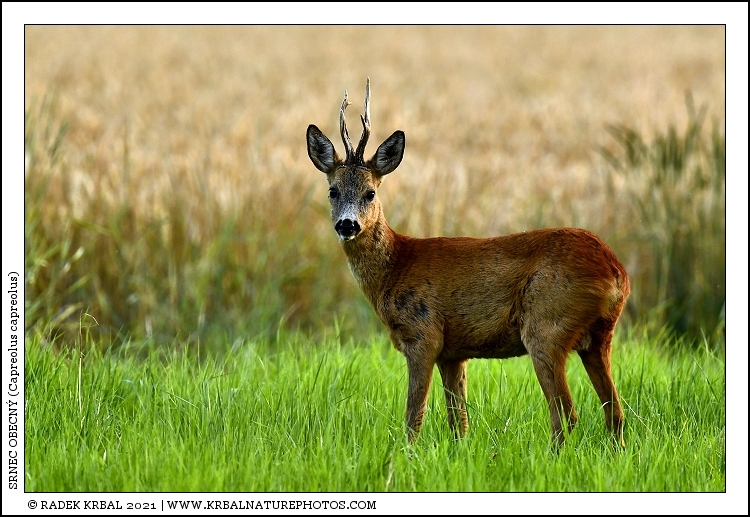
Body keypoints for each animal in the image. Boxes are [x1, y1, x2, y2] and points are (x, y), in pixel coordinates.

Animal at [306, 78, 629, 448]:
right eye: (332, 191)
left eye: (370, 193)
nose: (347, 225)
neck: (396, 267)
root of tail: (616, 272)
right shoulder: (453, 351)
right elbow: (458, 422)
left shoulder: (423, 334)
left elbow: (414, 417)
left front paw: (405, 456)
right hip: (600, 336)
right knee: (615, 413)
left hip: (547, 325)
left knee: (567, 413)